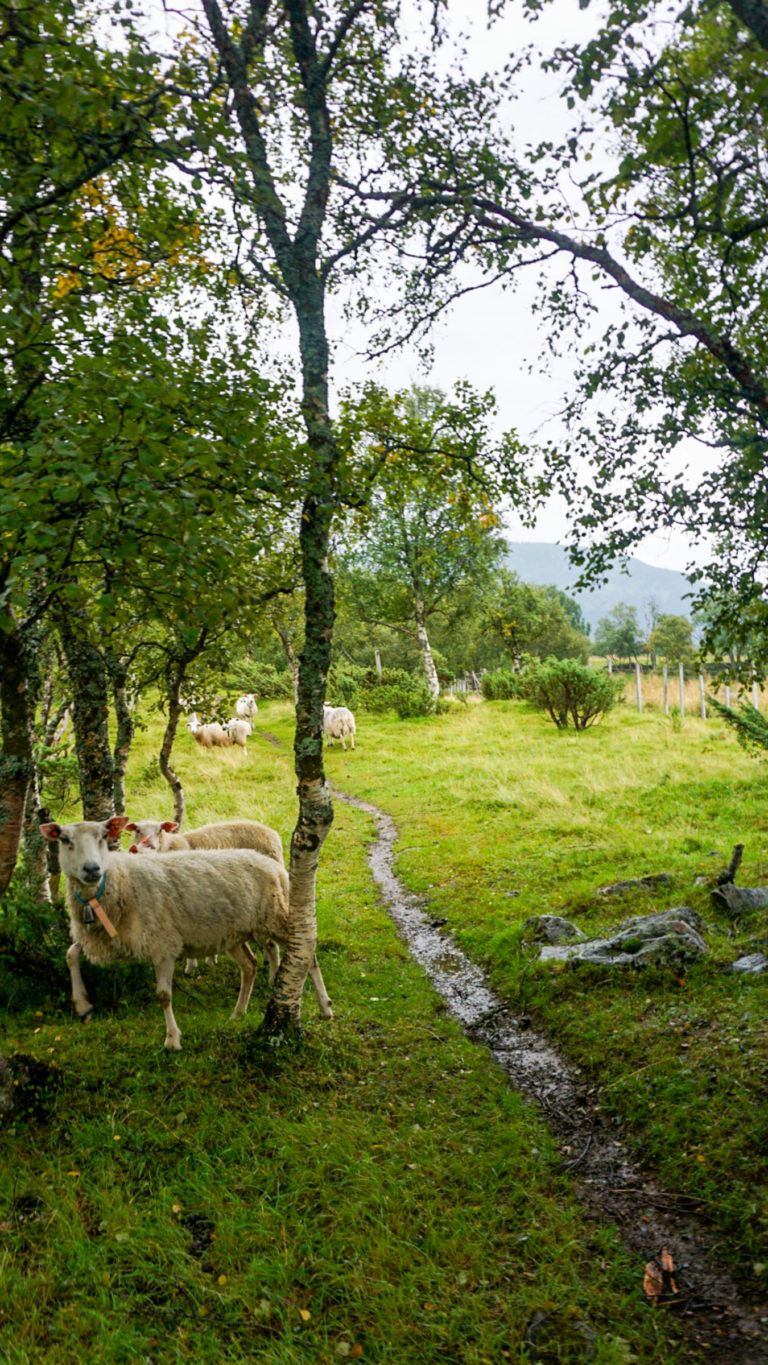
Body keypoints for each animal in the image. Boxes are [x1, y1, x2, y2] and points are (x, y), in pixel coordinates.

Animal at [40, 813, 331, 1048]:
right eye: (64, 839)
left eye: (103, 837)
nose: (92, 869)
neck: (117, 883)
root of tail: (276, 867)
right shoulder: (106, 936)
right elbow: (70, 954)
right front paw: (82, 1004)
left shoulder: (163, 944)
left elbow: (164, 996)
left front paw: (172, 1039)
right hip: (234, 934)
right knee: (249, 966)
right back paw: (237, 1013)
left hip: (275, 918)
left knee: (308, 954)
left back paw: (325, 1007)